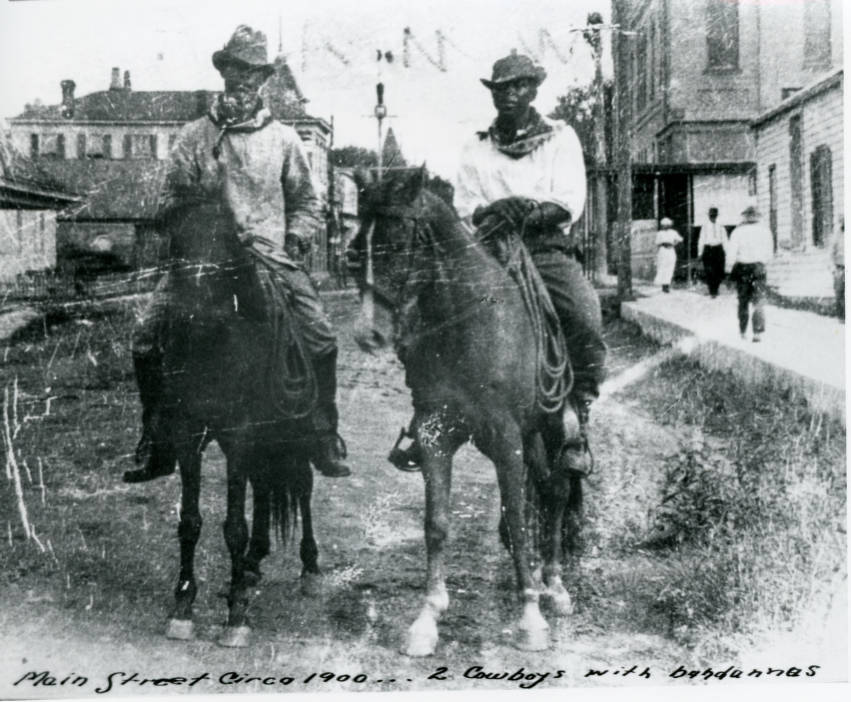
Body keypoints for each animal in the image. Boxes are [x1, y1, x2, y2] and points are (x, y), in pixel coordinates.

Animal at [151, 199, 322, 648]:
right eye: (174, 238)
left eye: (226, 240)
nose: (190, 315)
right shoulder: (187, 433)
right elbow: (190, 522)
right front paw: (183, 605)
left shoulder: (239, 436)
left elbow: (233, 527)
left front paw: (237, 615)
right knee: (264, 489)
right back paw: (252, 565)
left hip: (291, 437)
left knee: (302, 487)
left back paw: (309, 568)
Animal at [350, 170, 584, 660]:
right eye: (357, 245)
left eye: (396, 243)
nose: (368, 334)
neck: (468, 324)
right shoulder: (435, 433)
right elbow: (436, 524)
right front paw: (427, 617)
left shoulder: (505, 438)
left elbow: (517, 519)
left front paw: (530, 616)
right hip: (531, 439)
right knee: (545, 491)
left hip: (549, 429)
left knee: (555, 493)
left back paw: (554, 586)